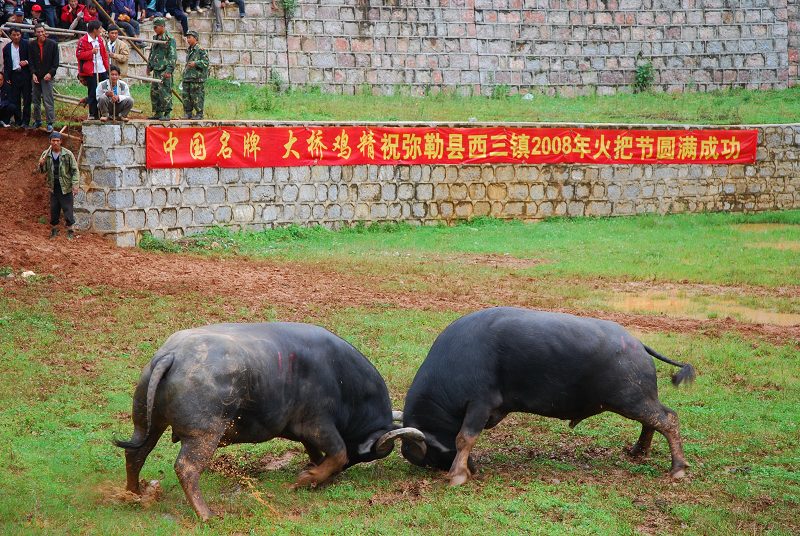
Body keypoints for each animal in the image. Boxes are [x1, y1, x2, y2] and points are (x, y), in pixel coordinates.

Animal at [115, 322, 424, 520]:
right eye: (364, 453)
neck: (339, 376)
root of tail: (172, 354)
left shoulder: (304, 432)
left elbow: (318, 453)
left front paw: (315, 472)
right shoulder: (319, 425)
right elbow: (337, 453)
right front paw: (306, 479)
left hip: (147, 423)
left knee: (136, 453)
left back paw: (134, 493)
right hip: (204, 435)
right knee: (186, 468)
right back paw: (206, 514)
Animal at [400, 306, 692, 486]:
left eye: (429, 456)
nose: (471, 467)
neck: (456, 361)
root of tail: (637, 344)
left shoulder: (479, 404)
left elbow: (464, 438)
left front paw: (458, 475)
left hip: (632, 400)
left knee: (668, 419)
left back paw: (678, 468)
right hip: (638, 400)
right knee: (653, 421)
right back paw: (638, 451)